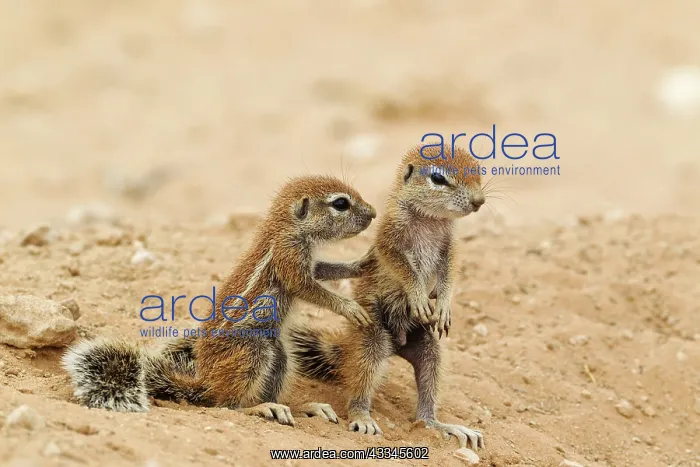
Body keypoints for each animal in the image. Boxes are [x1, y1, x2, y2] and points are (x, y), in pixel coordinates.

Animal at [62, 175, 376, 427]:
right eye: (340, 204)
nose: (373, 213)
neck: (287, 229)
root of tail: (205, 381)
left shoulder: (308, 260)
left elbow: (324, 269)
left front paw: (361, 264)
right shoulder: (289, 257)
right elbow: (308, 287)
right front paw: (350, 308)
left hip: (280, 354)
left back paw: (302, 408)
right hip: (252, 350)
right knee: (227, 404)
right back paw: (263, 408)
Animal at [290, 145, 486, 450]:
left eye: (478, 170)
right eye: (438, 179)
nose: (479, 201)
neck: (431, 219)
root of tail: (396, 346)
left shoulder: (449, 247)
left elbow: (449, 274)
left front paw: (443, 305)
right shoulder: (390, 236)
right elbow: (403, 267)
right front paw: (418, 295)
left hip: (427, 346)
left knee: (427, 394)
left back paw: (440, 424)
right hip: (372, 337)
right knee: (362, 376)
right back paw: (362, 416)